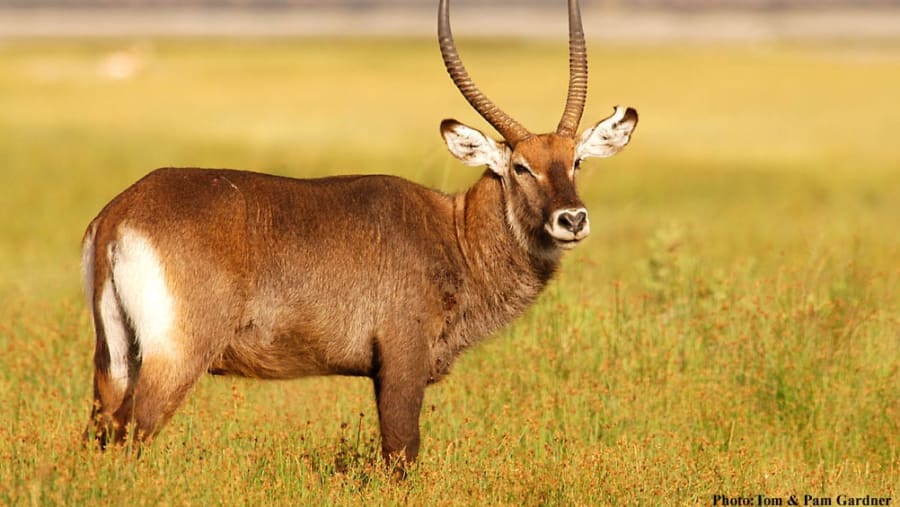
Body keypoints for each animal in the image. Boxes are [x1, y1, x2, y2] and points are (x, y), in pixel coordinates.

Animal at [81, 0, 638, 464]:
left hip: (115, 361)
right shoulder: (401, 362)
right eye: (521, 167)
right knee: (131, 434)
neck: (453, 233)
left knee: (99, 435)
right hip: (175, 357)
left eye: (577, 161)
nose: (572, 219)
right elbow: (401, 453)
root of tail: (119, 213)